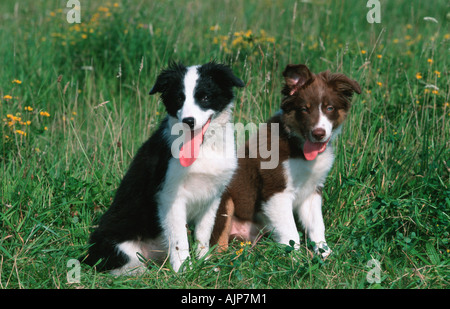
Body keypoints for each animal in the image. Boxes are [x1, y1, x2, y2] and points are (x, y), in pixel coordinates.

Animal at [82, 62, 244, 272]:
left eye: (205, 97)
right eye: (179, 98)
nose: (188, 121)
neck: (203, 149)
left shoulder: (212, 197)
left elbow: (203, 234)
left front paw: (204, 264)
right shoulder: (170, 197)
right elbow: (179, 239)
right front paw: (184, 270)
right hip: (116, 244)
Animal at [211, 63, 362, 258]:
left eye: (330, 108)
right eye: (304, 109)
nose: (319, 134)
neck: (297, 146)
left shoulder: (312, 191)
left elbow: (317, 226)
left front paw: (324, 254)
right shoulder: (276, 192)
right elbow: (291, 233)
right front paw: (295, 260)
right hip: (223, 202)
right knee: (217, 244)